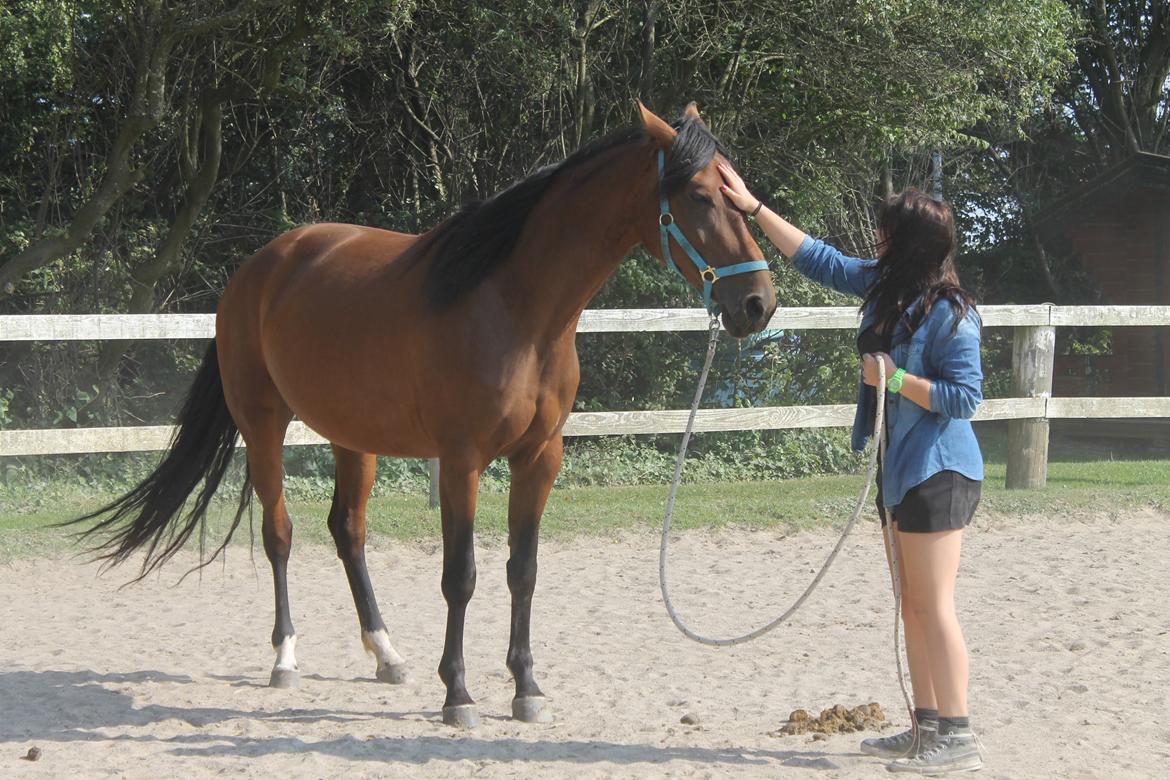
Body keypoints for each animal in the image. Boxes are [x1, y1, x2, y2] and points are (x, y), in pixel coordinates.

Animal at [73, 100, 776, 729]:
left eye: (736, 193)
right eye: (697, 195)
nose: (757, 303)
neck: (518, 309)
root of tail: (256, 269)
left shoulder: (540, 457)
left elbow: (523, 571)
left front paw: (526, 688)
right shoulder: (461, 461)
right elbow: (460, 576)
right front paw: (459, 695)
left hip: (353, 438)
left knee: (347, 530)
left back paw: (387, 655)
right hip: (263, 425)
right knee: (280, 533)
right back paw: (285, 658)